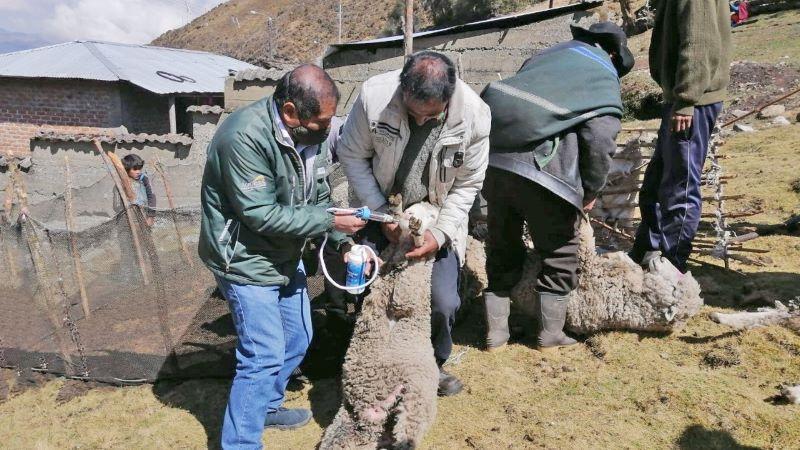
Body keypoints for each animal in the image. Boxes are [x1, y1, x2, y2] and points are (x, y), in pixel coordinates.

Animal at [318, 197, 440, 450]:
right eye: (413, 208)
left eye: (434, 216)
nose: (413, 217)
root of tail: (376, 412)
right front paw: (396, 207)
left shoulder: (411, 290)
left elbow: (405, 293)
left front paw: (418, 233)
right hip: (347, 421)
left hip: (416, 397)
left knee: (407, 434)